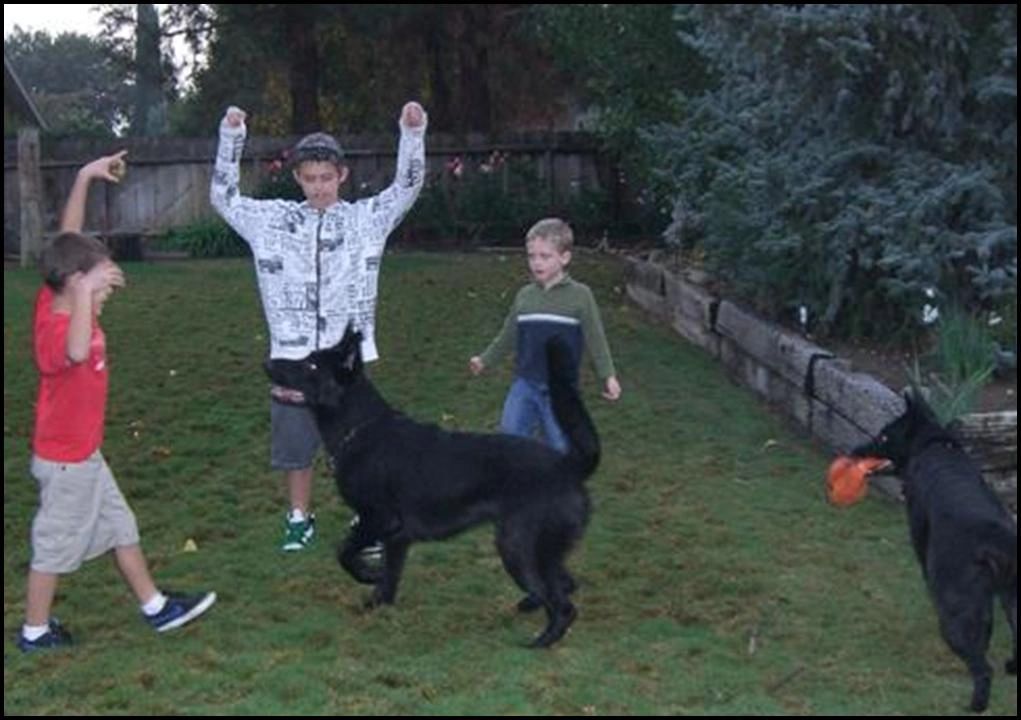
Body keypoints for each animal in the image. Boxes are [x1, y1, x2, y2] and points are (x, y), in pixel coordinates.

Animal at [265, 326, 596, 645]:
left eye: (311, 364)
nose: (267, 363)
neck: (358, 430)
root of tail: (567, 465)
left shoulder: (378, 520)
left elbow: (344, 552)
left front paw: (368, 575)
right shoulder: (397, 536)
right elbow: (390, 575)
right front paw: (378, 601)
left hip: (517, 546)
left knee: (563, 605)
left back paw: (542, 640)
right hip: (537, 549)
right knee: (564, 584)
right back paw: (531, 604)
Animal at [853, 390, 1012, 710]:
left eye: (884, 435)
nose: (856, 451)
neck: (935, 446)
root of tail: (993, 542)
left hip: (955, 613)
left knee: (983, 669)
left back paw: (975, 705)